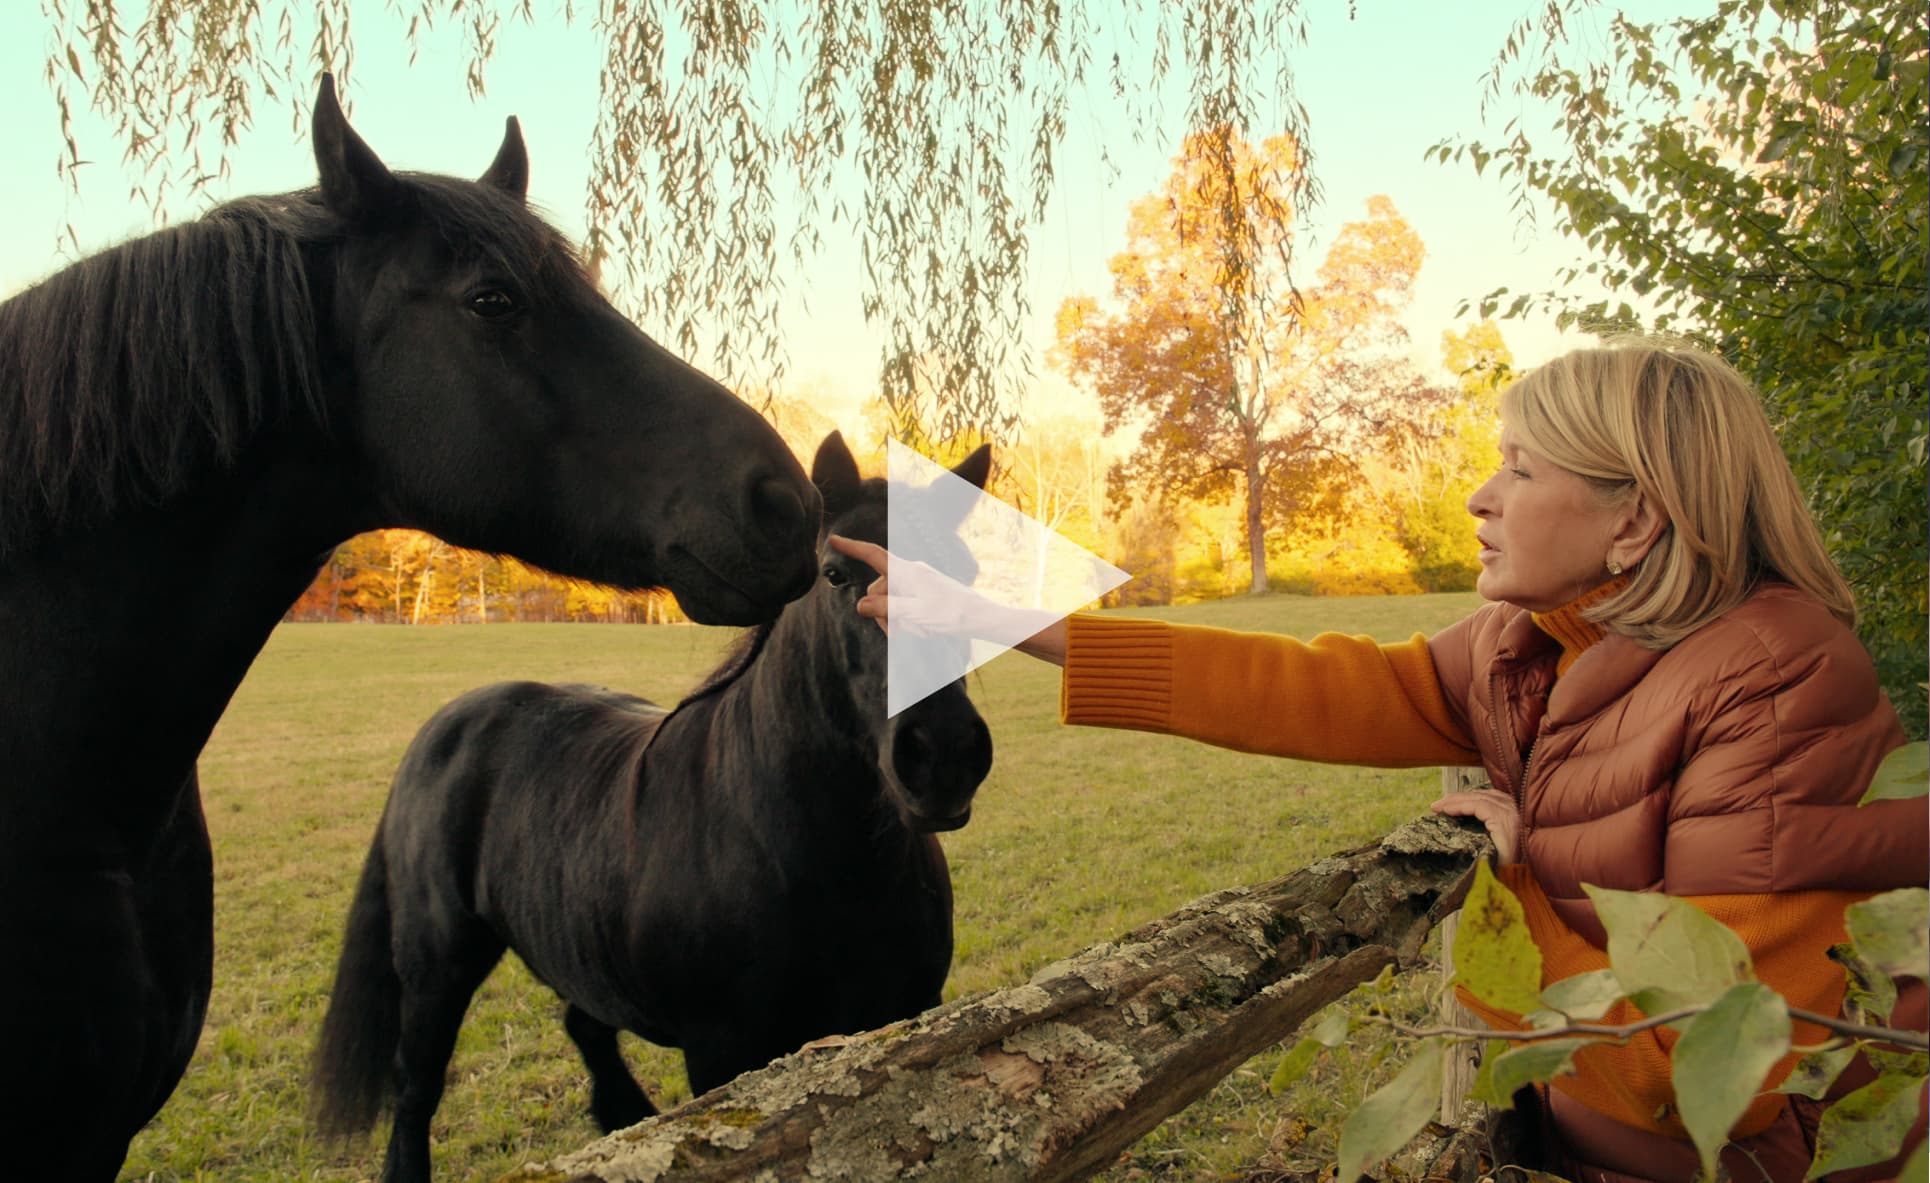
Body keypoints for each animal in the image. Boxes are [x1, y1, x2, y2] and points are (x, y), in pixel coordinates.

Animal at [314, 434, 995, 1181]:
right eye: (836, 573)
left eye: (966, 576)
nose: (942, 753)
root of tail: (446, 723)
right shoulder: (725, 1054)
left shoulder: (908, 1014)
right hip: (438, 966)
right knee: (416, 1089)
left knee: (584, 1025)